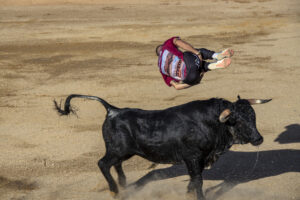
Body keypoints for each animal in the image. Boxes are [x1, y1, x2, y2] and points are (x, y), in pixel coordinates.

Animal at [54, 94, 272, 199]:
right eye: (238, 121)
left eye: (253, 116)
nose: (259, 139)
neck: (212, 122)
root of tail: (113, 110)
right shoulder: (193, 157)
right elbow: (198, 180)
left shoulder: (198, 159)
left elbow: (194, 179)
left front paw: (188, 194)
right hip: (117, 150)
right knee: (102, 164)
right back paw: (115, 191)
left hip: (122, 152)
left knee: (115, 165)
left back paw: (123, 185)